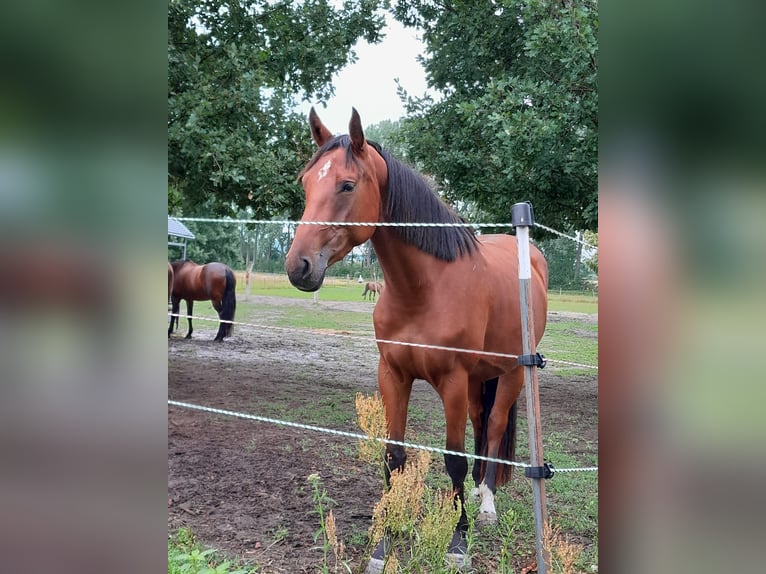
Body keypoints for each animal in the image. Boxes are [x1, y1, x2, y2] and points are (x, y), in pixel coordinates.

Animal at [286, 108, 544, 568]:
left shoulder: (453, 381)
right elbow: (394, 455)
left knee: (495, 428)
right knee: (481, 424)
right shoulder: (393, 375)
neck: (424, 289)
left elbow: (454, 459)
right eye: (306, 181)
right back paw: (478, 491)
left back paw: (486, 505)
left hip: (511, 374)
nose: (299, 266)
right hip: (479, 381)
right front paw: (384, 543)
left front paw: (458, 543)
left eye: (347, 185)